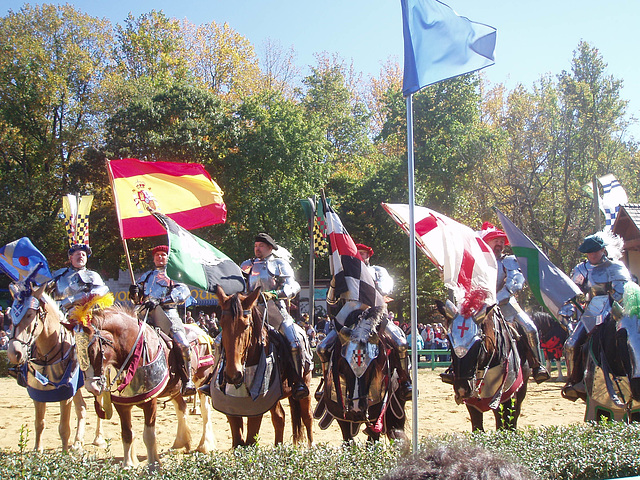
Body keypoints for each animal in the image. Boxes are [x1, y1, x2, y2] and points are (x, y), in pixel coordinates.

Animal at [6, 282, 105, 450]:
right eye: (10, 316)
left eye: (30, 315)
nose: (14, 353)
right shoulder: (38, 393)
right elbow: (39, 423)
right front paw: (37, 450)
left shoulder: (65, 394)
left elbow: (64, 428)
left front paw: (64, 453)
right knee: (82, 408)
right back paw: (78, 442)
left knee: (98, 404)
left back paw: (98, 438)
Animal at [77, 304, 218, 468]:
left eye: (93, 350)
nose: (91, 386)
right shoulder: (121, 404)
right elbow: (127, 434)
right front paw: (128, 464)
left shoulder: (150, 402)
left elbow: (149, 435)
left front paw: (153, 465)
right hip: (175, 389)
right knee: (181, 409)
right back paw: (180, 443)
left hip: (201, 381)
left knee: (205, 410)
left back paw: (205, 445)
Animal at [212, 284, 312, 448]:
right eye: (221, 324)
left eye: (246, 326)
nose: (233, 375)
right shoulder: (231, 409)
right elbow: (238, 443)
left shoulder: (257, 408)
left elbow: (250, 441)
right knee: (280, 418)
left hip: (305, 383)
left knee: (307, 416)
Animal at [312, 306, 408, 444]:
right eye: (344, 365)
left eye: (373, 365)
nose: (357, 408)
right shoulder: (341, 417)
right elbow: (348, 442)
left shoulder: (377, 417)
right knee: (321, 349)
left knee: (401, 345)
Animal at [440, 296, 528, 432]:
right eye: (449, 340)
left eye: (478, 342)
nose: (462, 389)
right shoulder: (472, 404)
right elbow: (478, 428)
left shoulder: (508, 397)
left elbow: (507, 425)